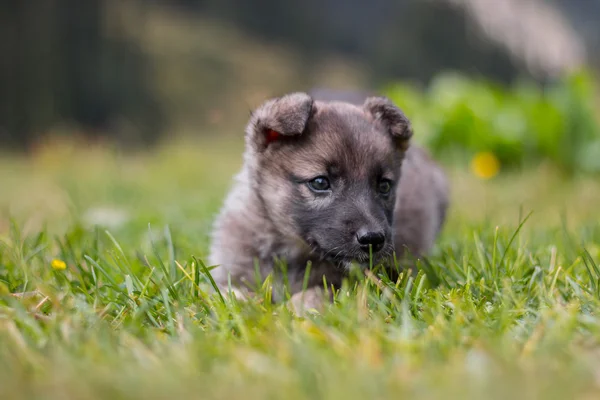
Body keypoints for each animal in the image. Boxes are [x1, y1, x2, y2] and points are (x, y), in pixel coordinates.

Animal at [209, 93, 448, 310]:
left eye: (384, 186)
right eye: (320, 182)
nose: (373, 240)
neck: (290, 251)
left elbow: (316, 294)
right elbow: (230, 294)